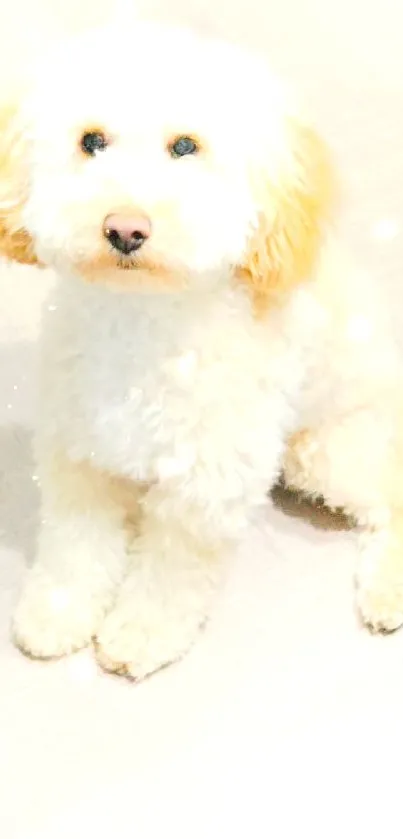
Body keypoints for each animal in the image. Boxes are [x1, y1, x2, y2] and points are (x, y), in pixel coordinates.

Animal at [1, 19, 402, 680]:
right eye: (91, 141)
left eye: (185, 147)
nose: (124, 229)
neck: (142, 318)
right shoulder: (79, 448)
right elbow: (76, 543)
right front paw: (58, 612)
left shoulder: (207, 478)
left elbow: (172, 569)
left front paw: (140, 632)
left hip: (327, 449)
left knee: (392, 497)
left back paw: (387, 589)